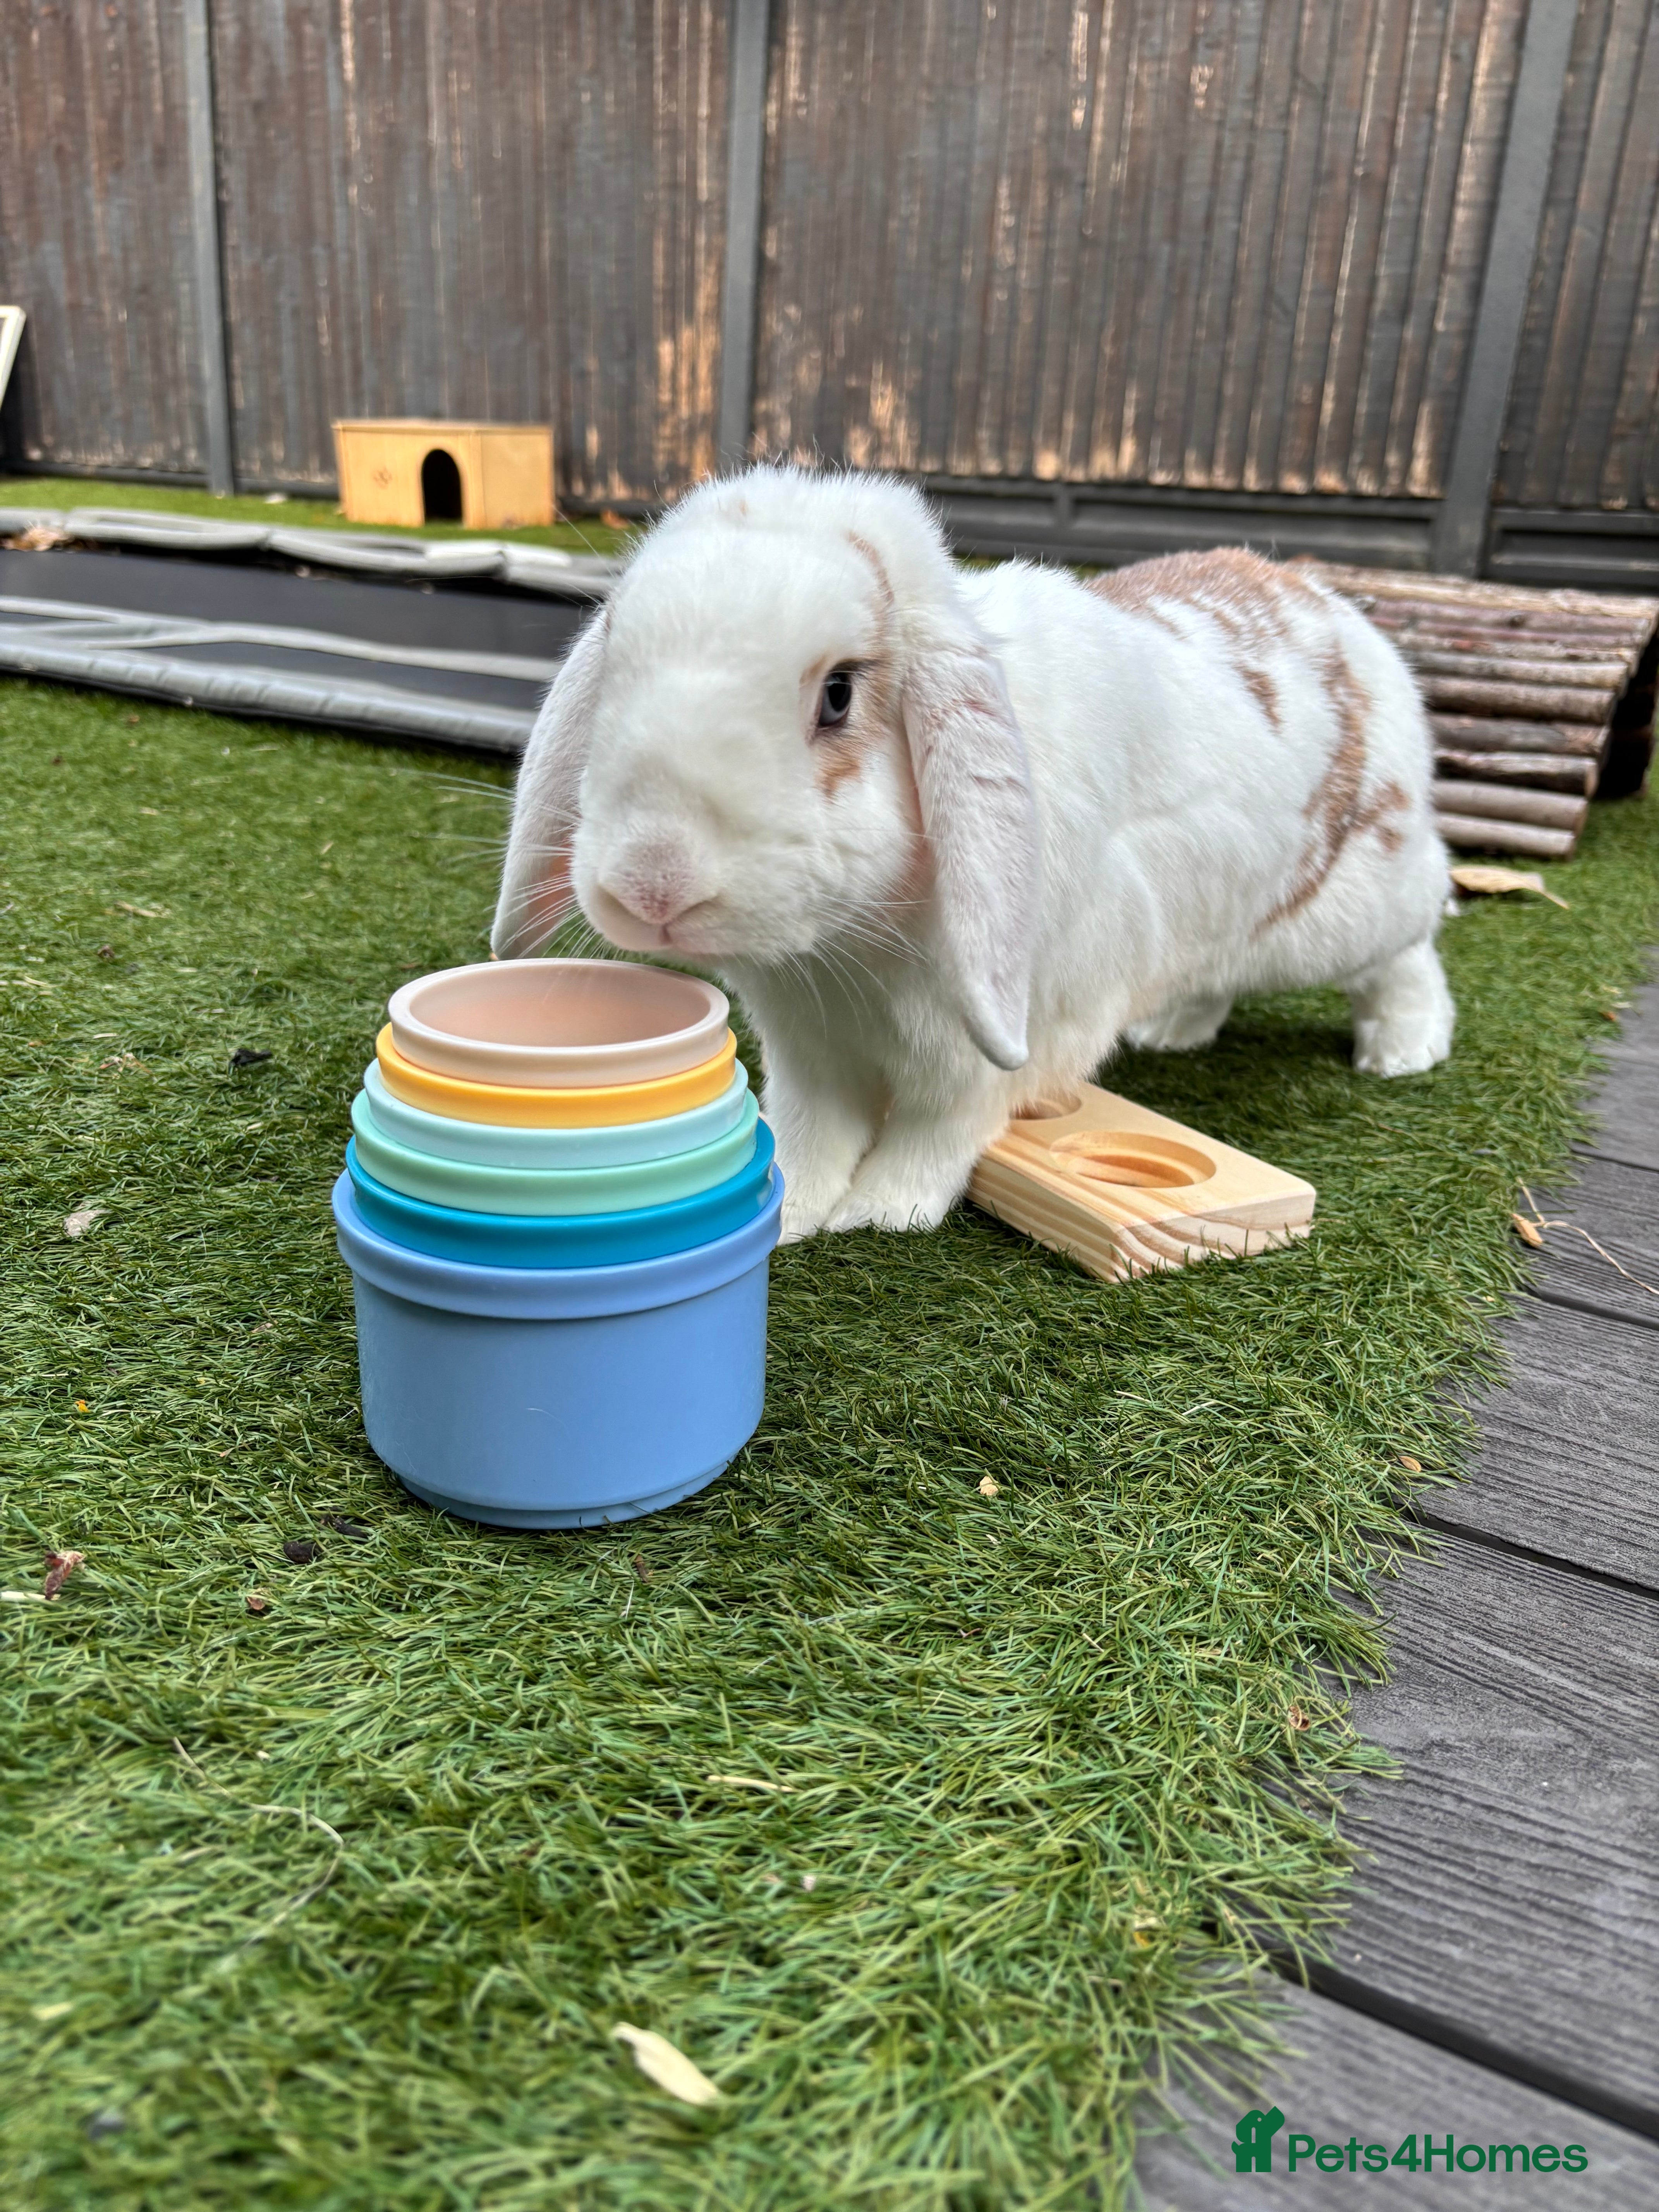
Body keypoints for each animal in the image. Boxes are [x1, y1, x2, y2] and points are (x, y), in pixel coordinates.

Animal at [492, 465, 1453, 1241]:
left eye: (839, 695)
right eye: (616, 665)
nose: (652, 887)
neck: (849, 951)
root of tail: (1336, 612)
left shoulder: (1002, 1043)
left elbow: (942, 1127)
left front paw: (883, 1212)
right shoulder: (811, 1050)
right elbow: (814, 1129)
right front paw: (794, 1204)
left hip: (1352, 903)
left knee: (1412, 947)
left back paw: (1404, 1050)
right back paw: (1175, 1031)